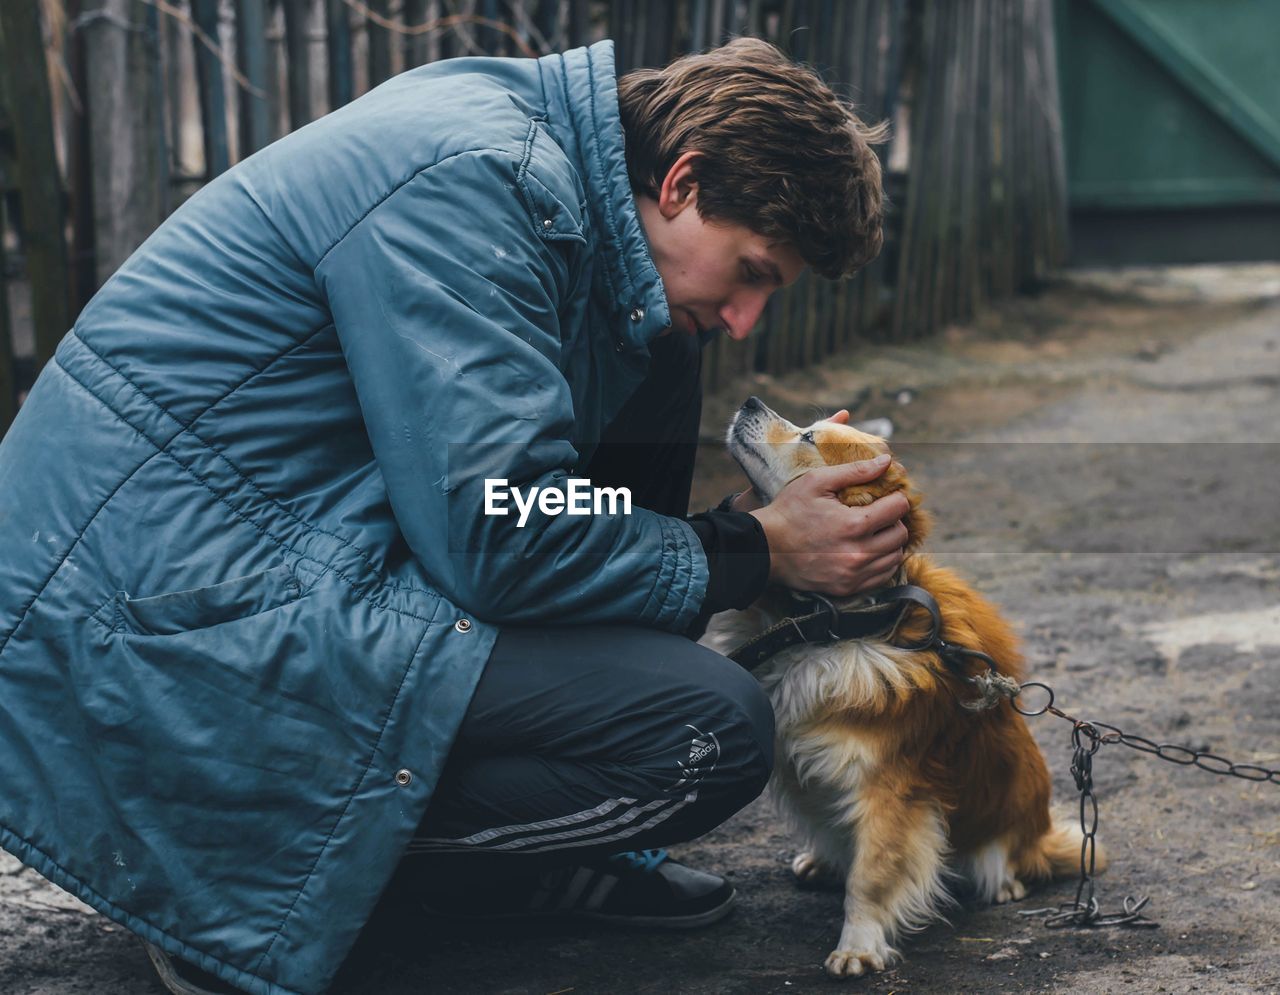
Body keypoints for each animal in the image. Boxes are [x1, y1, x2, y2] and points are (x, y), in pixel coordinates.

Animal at [701, 396, 1100, 978]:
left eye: (809, 437)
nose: (750, 401)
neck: (832, 625)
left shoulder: (890, 788)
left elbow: (872, 875)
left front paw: (858, 946)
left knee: (1007, 853)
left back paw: (1003, 879)